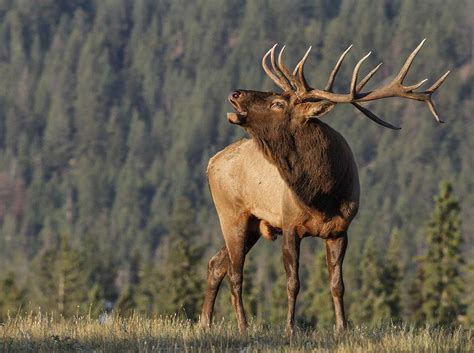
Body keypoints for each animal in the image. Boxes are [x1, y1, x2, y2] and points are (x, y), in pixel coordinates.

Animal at [199, 39, 448, 332]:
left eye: (277, 103)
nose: (235, 93)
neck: (322, 195)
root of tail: (210, 163)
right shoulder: (290, 224)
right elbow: (293, 283)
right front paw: (290, 328)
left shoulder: (341, 229)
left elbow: (337, 284)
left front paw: (342, 328)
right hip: (232, 214)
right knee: (235, 273)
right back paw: (243, 326)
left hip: (252, 225)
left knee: (217, 264)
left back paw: (205, 323)